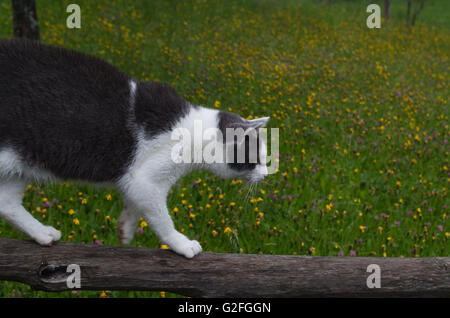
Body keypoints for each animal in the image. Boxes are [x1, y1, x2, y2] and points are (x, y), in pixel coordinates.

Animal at [0, 39, 268, 258]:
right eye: (255, 159)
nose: (265, 175)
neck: (191, 128)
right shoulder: (147, 179)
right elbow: (160, 216)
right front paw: (180, 244)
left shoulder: (135, 178)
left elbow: (134, 202)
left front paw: (125, 228)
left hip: (22, 164)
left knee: (6, 202)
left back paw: (42, 233)